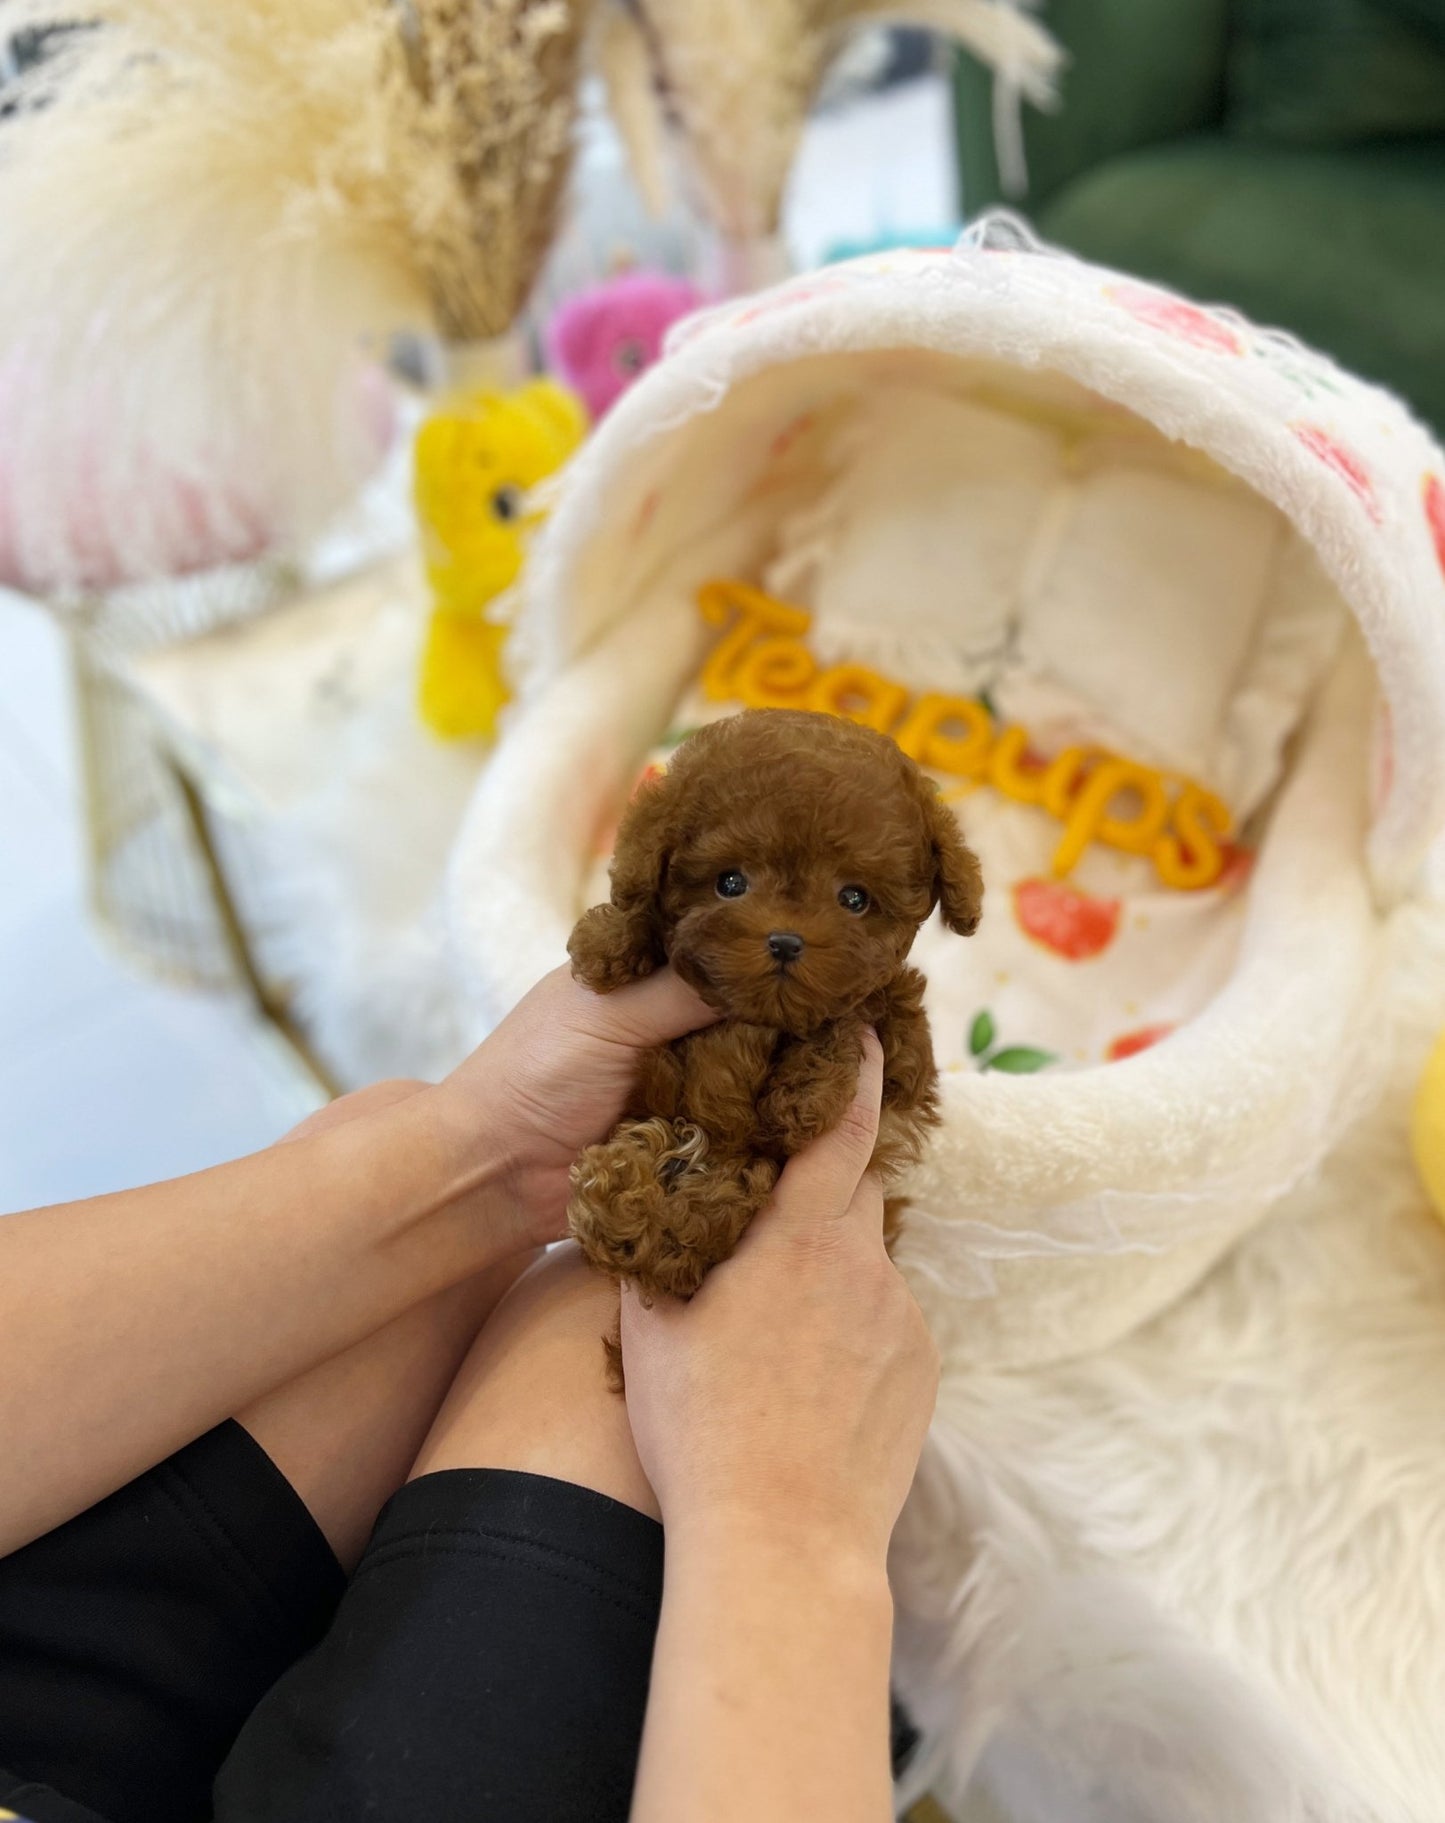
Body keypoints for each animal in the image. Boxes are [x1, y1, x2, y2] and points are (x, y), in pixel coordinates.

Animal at [564, 710, 983, 1327]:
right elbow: (638, 904)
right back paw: (628, 1194)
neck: (761, 1020)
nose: (786, 941)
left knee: (696, 1237)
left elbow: (862, 1020)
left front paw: (804, 1095)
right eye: (730, 882)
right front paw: (609, 942)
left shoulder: (899, 1063)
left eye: (854, 898)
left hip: (742, 1186)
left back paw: (634, 1200)